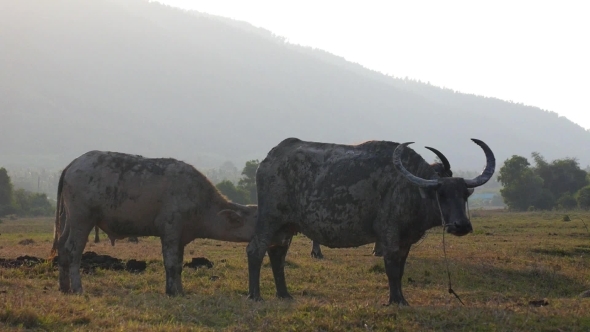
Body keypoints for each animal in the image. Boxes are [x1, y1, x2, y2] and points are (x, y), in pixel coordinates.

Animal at [53, 150, 260, 294]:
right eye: (257, 219)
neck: (200, 201)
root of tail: (73, 164)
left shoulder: (181, 237)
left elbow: (178, 265)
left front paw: (179, 290)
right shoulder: (170, 230)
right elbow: (170, 262)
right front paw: (171, 291)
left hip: (69, 220)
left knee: (62, 246)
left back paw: (64, 287)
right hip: (82, 220)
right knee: (73, 250)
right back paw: (77, 288)